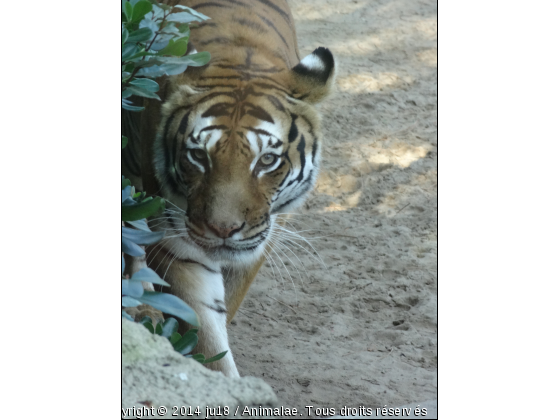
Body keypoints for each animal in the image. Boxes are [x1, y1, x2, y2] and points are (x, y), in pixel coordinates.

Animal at [122, 0, 334, 378]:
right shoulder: (177, 238)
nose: (223, 229)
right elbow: (204, 331)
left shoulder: (260, 236)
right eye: (197, 155)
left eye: (267, 160)